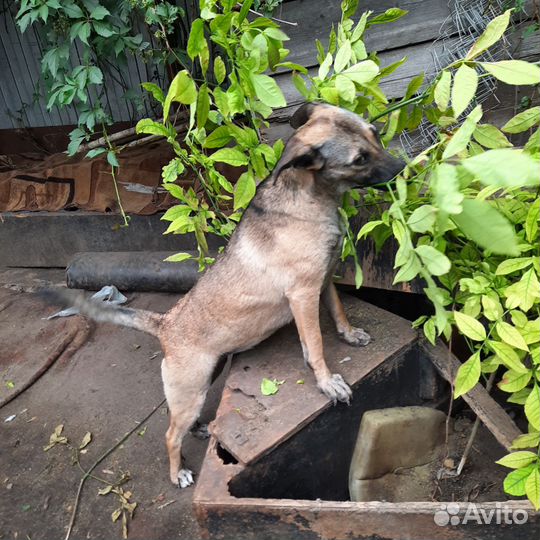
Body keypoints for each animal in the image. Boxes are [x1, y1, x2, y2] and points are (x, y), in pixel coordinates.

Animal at [45, 103, 404, 488]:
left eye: (375, 134)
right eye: (359, 159)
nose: (405, 168)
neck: (307, 197)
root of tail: (165, 324)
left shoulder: (325, 280)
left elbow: (338, 311)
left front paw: (350, 335)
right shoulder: (304, 294)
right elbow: (316, 346)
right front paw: (327, 383)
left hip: (205, 378)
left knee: (180, 421)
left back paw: (201, 427)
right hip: (190, 389)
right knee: (170, 435)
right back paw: (178, 472)